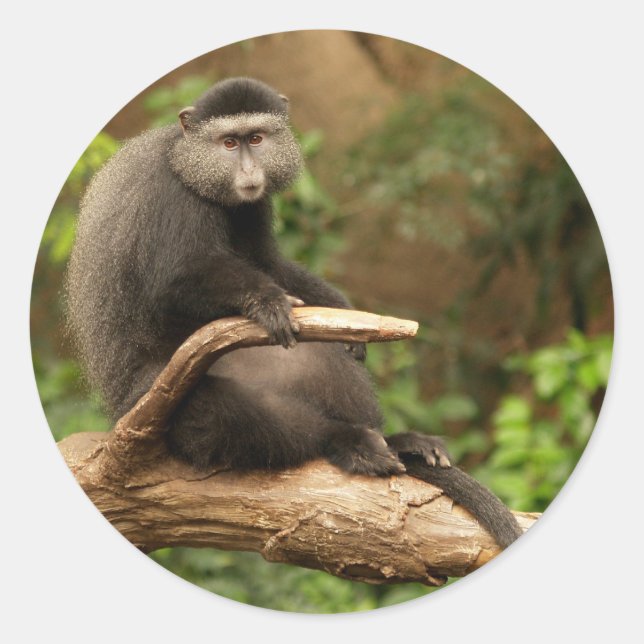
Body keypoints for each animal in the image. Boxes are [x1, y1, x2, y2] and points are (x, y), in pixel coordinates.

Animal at [66, 77, 522, 548]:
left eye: (256, 139)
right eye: (228, 143)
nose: (249, 171)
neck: (187, 162)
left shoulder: (252, 206)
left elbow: (269, 263)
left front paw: (342, 313)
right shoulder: (172, 199)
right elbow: (173, 283)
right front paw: (265, 301)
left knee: (322, 359)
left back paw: (397, 442)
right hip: (156, 399)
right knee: (225, 413)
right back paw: (347, 442)